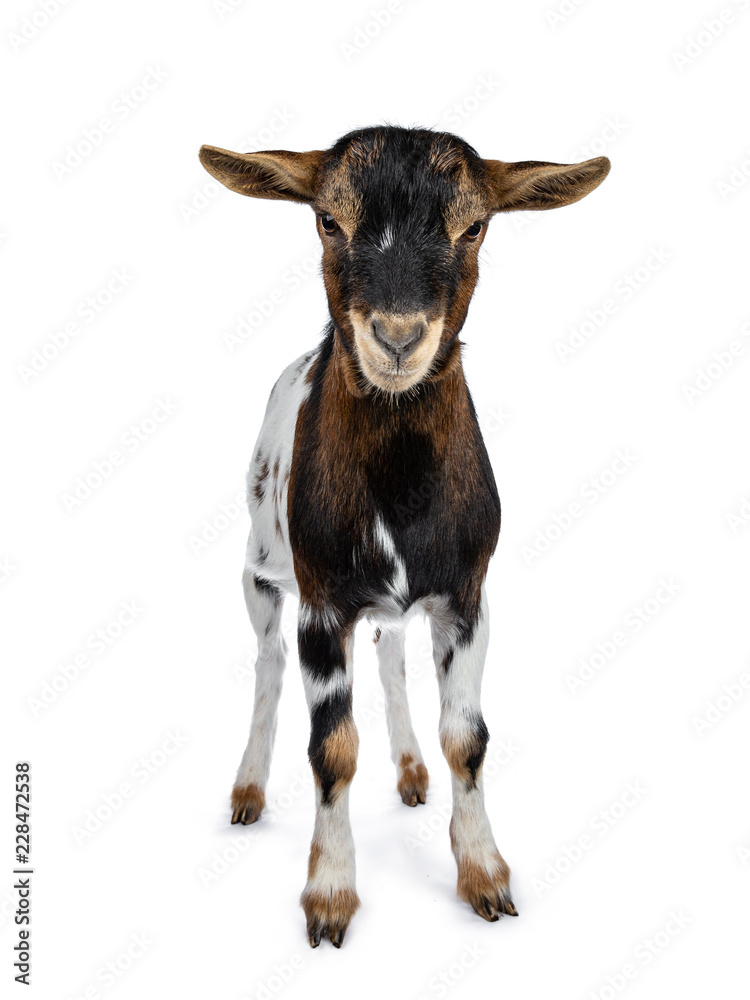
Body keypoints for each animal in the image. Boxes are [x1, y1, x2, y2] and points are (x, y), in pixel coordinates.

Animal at [199, 125, 609, 947]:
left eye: (474, 226)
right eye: (328, 220)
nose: (394, 338)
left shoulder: (467, 598)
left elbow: (467, 737)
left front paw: (484, 875)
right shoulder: (322, 603)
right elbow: (332, 748)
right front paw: (329, 896)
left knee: (390, 656)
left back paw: (413, 773)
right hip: (258, 573)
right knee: (266, 665)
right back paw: (248, 791)